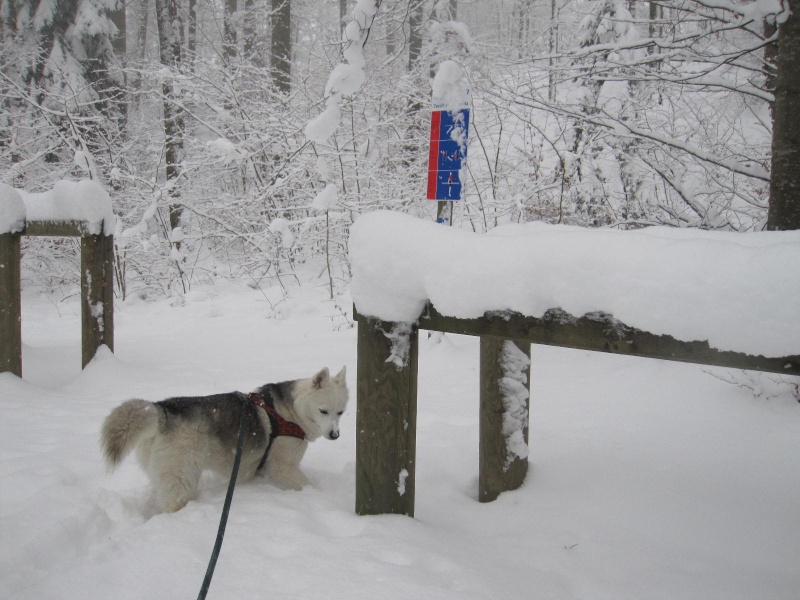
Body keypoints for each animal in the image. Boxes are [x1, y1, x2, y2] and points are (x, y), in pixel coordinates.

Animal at [100, 366, 346, 510]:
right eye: (323, 411)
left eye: (341, 412)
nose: (335, 435)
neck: (289, 411)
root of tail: (163, 409)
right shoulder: (282, 467)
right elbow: (310, 486)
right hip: (183, 479)